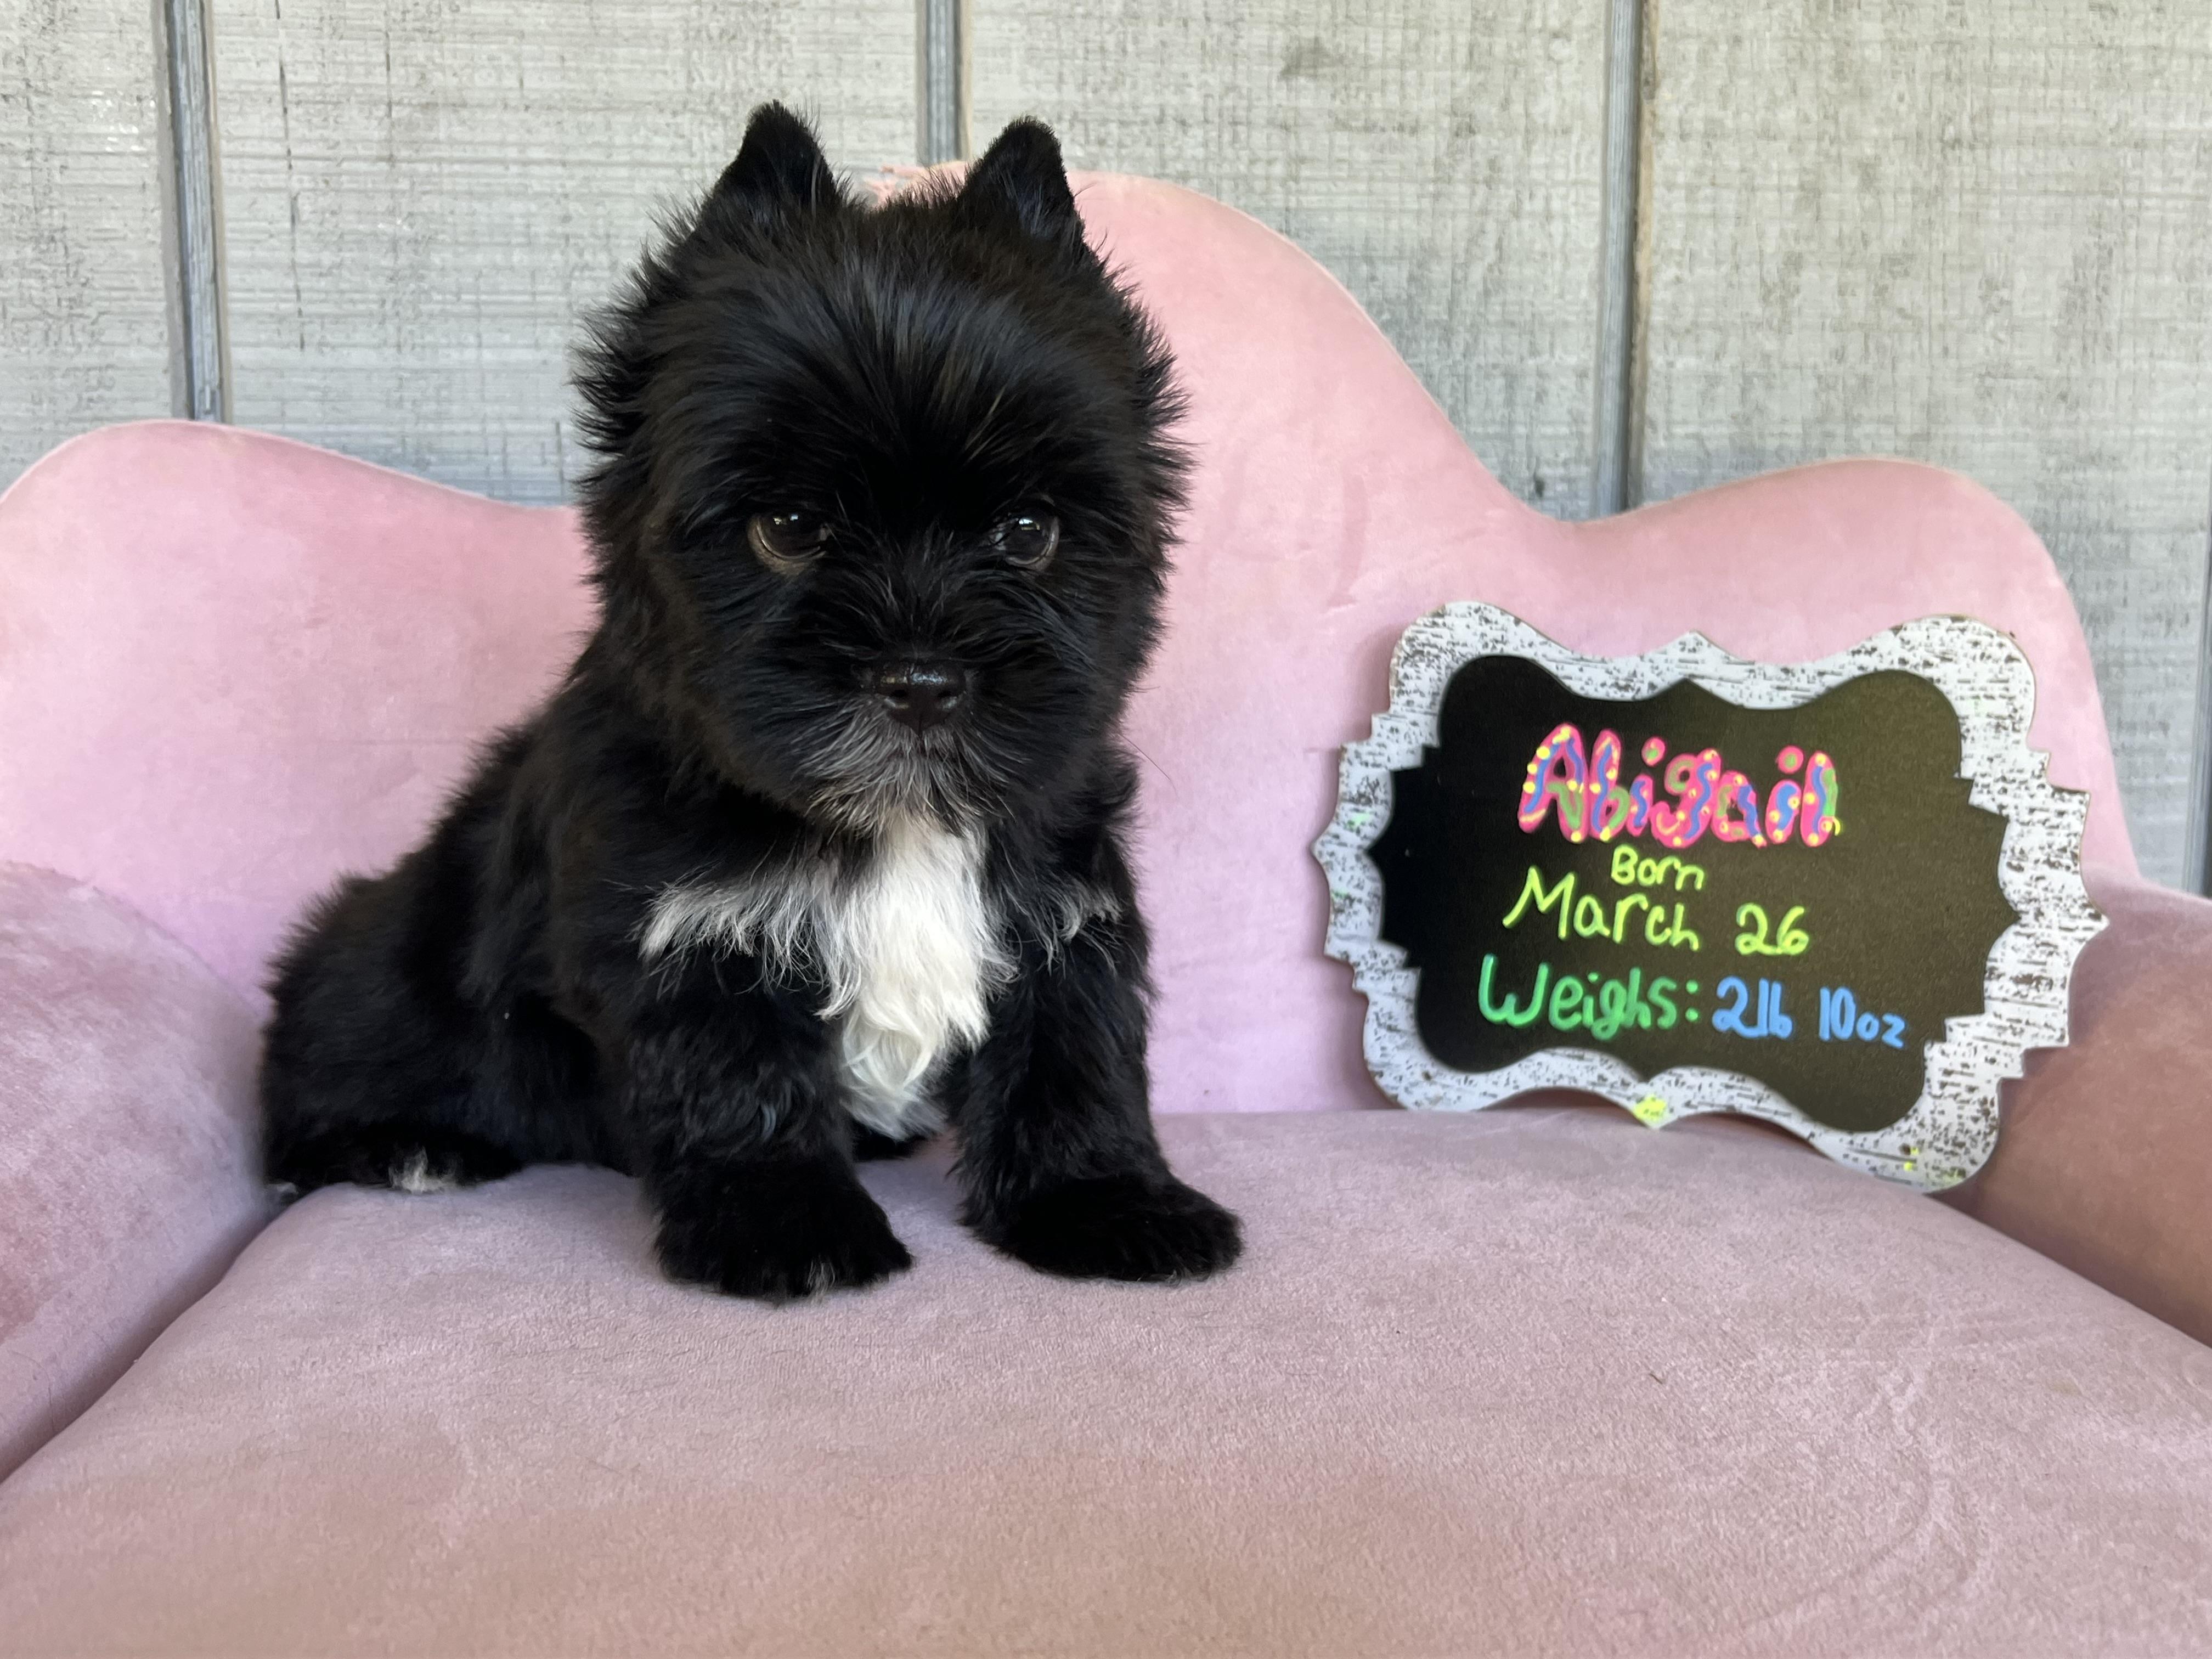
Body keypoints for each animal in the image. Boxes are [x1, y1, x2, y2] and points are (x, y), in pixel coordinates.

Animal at [258, 106, 1243, 1301]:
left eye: (1027, 533)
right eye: (788, 528)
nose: (921, 679)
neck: (892, 827)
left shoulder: (1062, 906)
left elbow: (1073, 1051)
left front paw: (1100, 1202)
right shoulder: (683, 929)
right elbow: (735, 1073)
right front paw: (786, 1227)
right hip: (376, 956)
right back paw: (403, 1144)